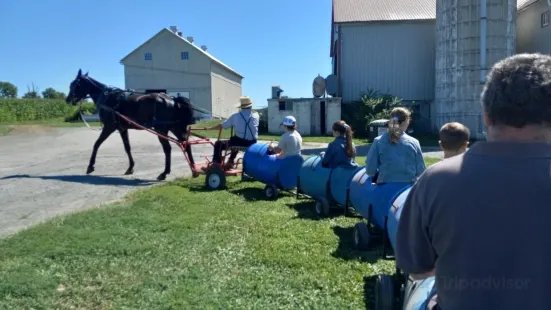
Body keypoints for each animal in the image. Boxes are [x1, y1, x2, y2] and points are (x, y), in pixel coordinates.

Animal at [67, 69, 197, 180]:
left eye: (75, 84)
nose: (68, 99)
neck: (107, 98)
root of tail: (173, 99)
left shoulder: (109, 127)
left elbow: (96, 144)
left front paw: (90, 166)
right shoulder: (122, 128)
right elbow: (127, 147)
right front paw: (130, 168)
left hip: (161, 129)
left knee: (168, 148)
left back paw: (164, 173)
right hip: (175, 128)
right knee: (186, 144)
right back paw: (194, 171)